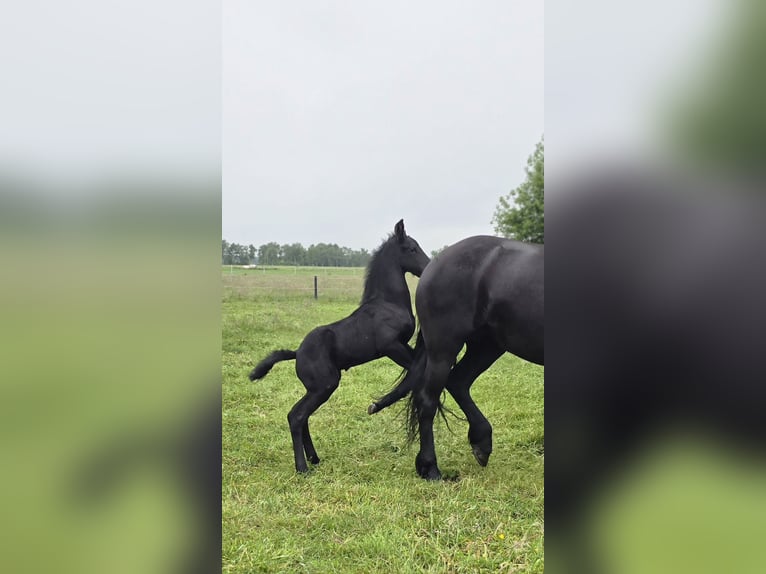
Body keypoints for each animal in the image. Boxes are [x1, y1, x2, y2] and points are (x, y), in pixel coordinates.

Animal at [248, 219, 430, 473]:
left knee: (301, 416)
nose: (429, 267)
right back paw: (302, 467)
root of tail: (297, 353)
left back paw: (314, 458)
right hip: (325, 385)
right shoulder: (391, 346)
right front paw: (376, 405)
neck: (387, 303)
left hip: (317, 388)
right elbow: (413, 374)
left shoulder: (401, 346)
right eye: (411, 249)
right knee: (296, 415)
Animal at [372, 235, 543, 480]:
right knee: (428, 399)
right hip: (444, 350)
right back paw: (430, 468)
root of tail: (434, 265)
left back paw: (481, 442)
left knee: (458, 382)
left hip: (486, 347)